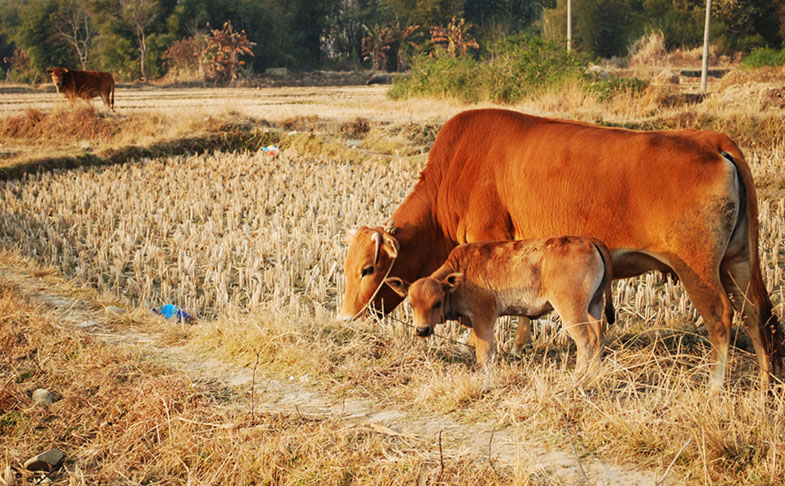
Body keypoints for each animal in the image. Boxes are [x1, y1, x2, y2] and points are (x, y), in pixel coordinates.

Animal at [384, 236, 612, 368]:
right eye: (411, 304)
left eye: (437, 302)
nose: (421, 330)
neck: (460, 275)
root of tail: (589, 241)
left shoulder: (484, 318)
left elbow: (484, 353)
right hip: (593, 306)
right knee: (598, 339)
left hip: (571, 311)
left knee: (587, 342)